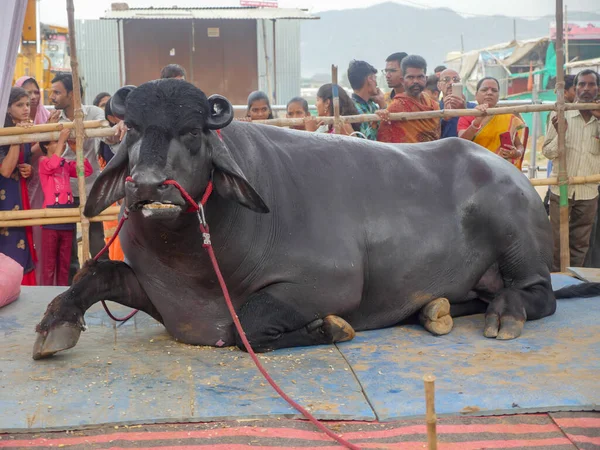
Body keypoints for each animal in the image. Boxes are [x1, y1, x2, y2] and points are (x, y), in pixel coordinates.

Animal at [31, 78, 584, 358]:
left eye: (191, 131)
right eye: (133, 128)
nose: (147, 185)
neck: (198, 258)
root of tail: (511, 175)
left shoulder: (327, 284)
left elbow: (246, 326)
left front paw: (332, 328)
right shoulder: (158, 294)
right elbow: (96, 273)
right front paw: (55, 323)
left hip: (517, 241)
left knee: (539, 293)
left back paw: (505, 314)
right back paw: (433, 309)